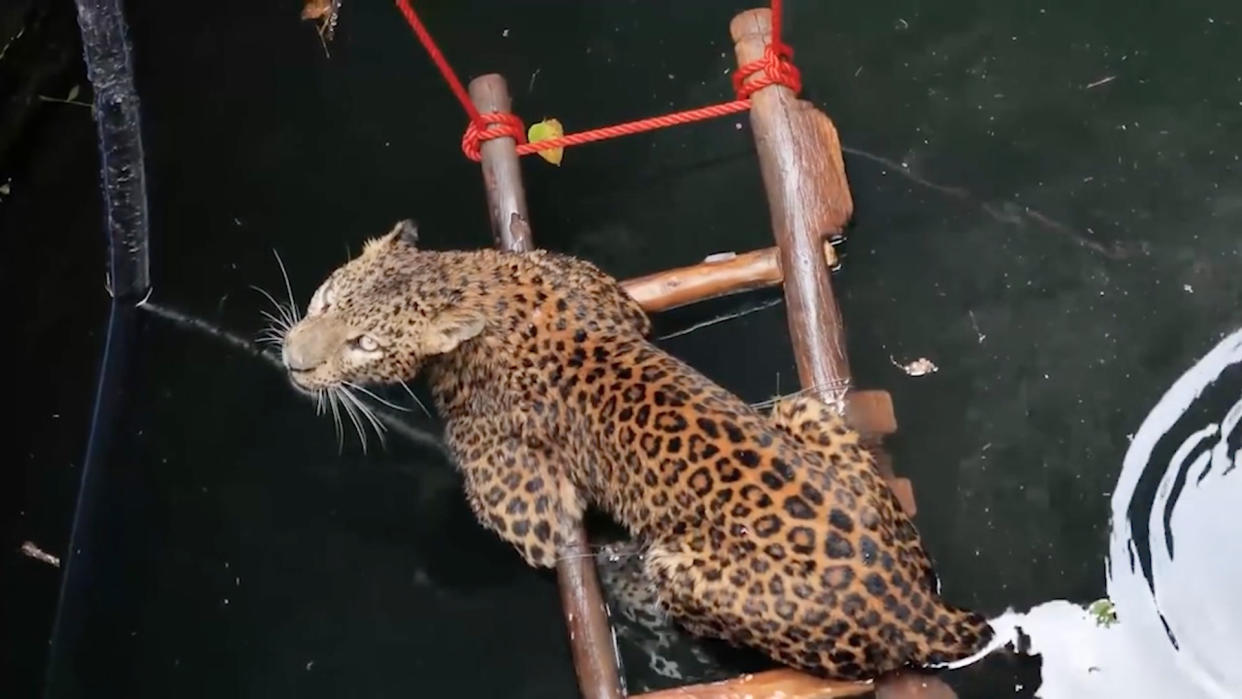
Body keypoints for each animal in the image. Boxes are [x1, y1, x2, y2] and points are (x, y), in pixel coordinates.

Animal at [276, 220, 993, 680]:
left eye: (366, 343)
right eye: (327, 298)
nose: (292, 361)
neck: (473, 282)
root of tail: (921, 607)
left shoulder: (523, 502)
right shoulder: (603, 289)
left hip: (684, 568)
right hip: (800, 407)